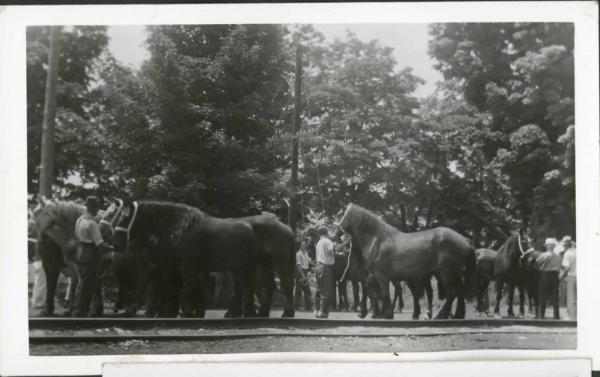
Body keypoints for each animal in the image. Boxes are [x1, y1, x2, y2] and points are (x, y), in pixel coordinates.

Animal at [113, 200, 256, 318]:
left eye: (125, 218)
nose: (116, 243)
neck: (179, 227)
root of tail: (250, 230)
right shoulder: (170, 266)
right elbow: (173, 287)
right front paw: (171, 312)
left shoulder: (186, 265)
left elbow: (187, 286)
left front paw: (186, 312)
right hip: (236, 269)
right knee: (241, 288)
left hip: (240, 268)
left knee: (242, 287)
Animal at [338, 203, 474, 318]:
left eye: (344, 215)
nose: (337, 232)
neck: (378, 241)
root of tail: (465, 240)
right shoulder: (374, 276)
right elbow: (375, 291)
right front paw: (379, 313)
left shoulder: (381, 275)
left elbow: (384, 293)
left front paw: (386, 314)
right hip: (450, 273)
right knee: (458, 291)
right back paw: (456, 314)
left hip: (446, 272)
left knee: (452, 292)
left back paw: (439, 316)